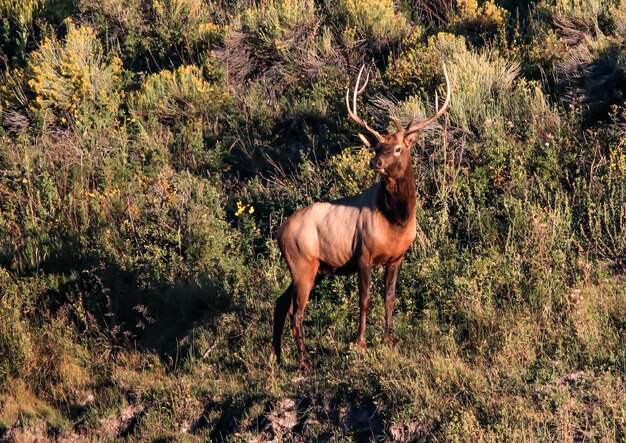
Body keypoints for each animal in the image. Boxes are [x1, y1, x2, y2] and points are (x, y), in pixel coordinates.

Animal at [272, 64, 448, 370]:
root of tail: (281, 232)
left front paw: (389, 338)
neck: (396, 221)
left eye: (398, 148)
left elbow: (390, 298)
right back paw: (304, 361)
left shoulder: (397, 257)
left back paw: (278, 357)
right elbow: (364, 300)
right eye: (376, 147)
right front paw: (361, 342)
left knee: (281, 303)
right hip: (302, 263)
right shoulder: (363, 254)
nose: (375, 162)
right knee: (297, 310)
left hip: (312, 268)